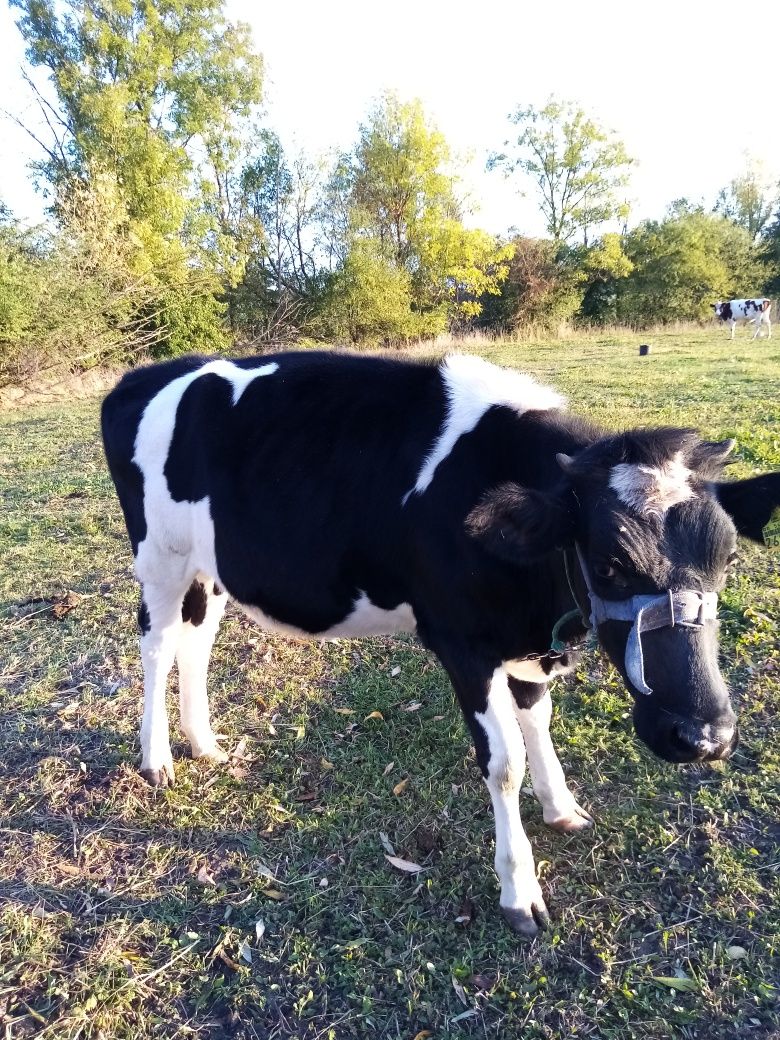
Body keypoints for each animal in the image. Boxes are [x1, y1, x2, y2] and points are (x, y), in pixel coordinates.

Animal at [102, 353, 780, 940]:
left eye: (727, 558)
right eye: (610, 563)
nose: (703, 737)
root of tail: (144, 374)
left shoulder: (526, 641)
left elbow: (539, 720)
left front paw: (562, 806)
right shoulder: (462, 645)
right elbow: (504, 763)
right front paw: (520, 892)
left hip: (211, 566)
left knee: (197, 641)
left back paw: (205, 745)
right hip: (159, 557)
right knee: (157, 644)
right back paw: (158, 758)